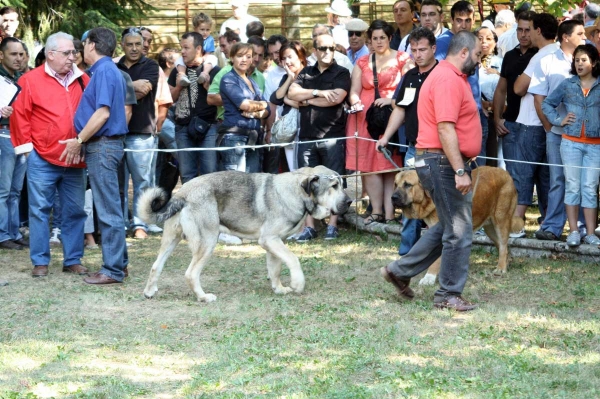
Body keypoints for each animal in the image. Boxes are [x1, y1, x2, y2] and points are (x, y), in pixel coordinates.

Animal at [137, 166, 352, 304]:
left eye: (342, 184)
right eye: (333, 186)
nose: (349, 202)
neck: (297, 192)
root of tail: (183, 193)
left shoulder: (274, 243)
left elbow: (275, 269)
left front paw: (279, 289)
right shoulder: (270, 240)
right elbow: (293, 260)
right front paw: (297, 284)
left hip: (170, 240)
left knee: (156, 266)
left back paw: (149, 292)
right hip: (208, 242)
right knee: (191, 274)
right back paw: (203, 297)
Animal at [392, 166, 524, 284]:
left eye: (408, 185)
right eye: (395, 184)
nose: (393, 197)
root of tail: (506, 174)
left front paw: (429, 277)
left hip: (501, 221)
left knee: (503, 245)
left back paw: (501, 268)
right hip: (490, 228)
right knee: (504, 247)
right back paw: (506, 262)